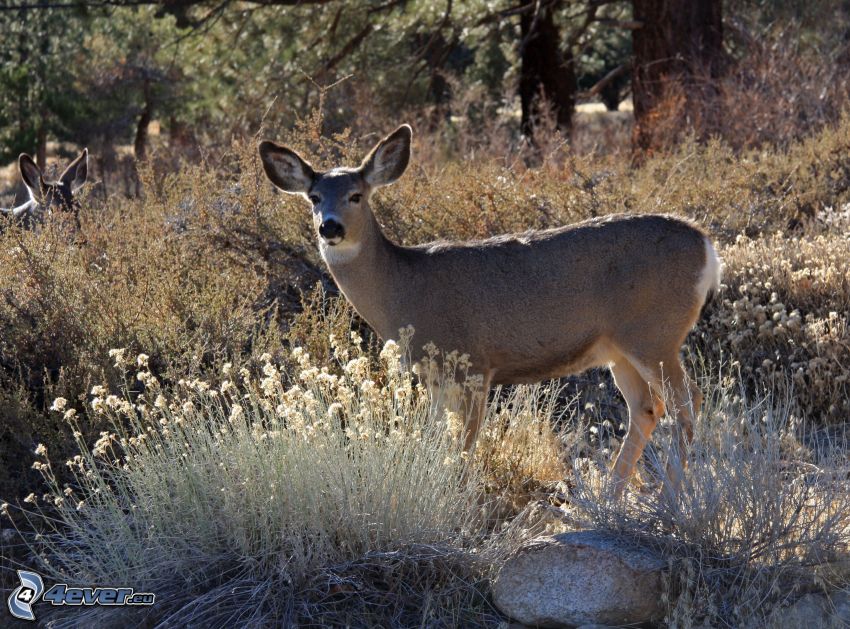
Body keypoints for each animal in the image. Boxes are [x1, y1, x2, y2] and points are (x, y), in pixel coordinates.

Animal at [260, 124, 724, 496]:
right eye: (314, 197)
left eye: (356, 195)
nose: (330, 226)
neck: (405, 288)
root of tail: (707, 246)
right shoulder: (434, 374)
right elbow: (437, 438)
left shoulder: (473, 364)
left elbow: (465, 444)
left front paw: (458, 501)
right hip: (618, 349)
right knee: (647, 408)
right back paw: (611, 494)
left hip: (654, 333)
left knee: (689, 400)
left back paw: (673, 490)